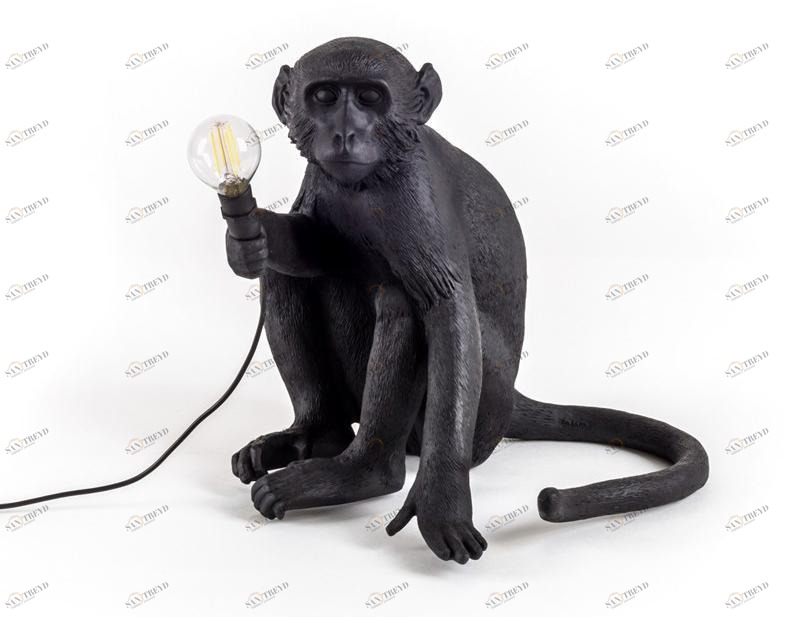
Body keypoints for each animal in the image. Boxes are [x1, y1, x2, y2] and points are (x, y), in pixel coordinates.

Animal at [225, 37, 709, 564]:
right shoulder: (322, 178)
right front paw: (252, 235)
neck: (371, 178)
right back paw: (316, 435)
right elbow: (312, 247)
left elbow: (445, 306)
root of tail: (511, 399)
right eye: (325, 96)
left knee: (403, 302)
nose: (346, 133)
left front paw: (442, 500)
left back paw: (364, 473)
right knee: (289, 277)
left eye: (371, 98)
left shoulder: (416, 195)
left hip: (482, 411)